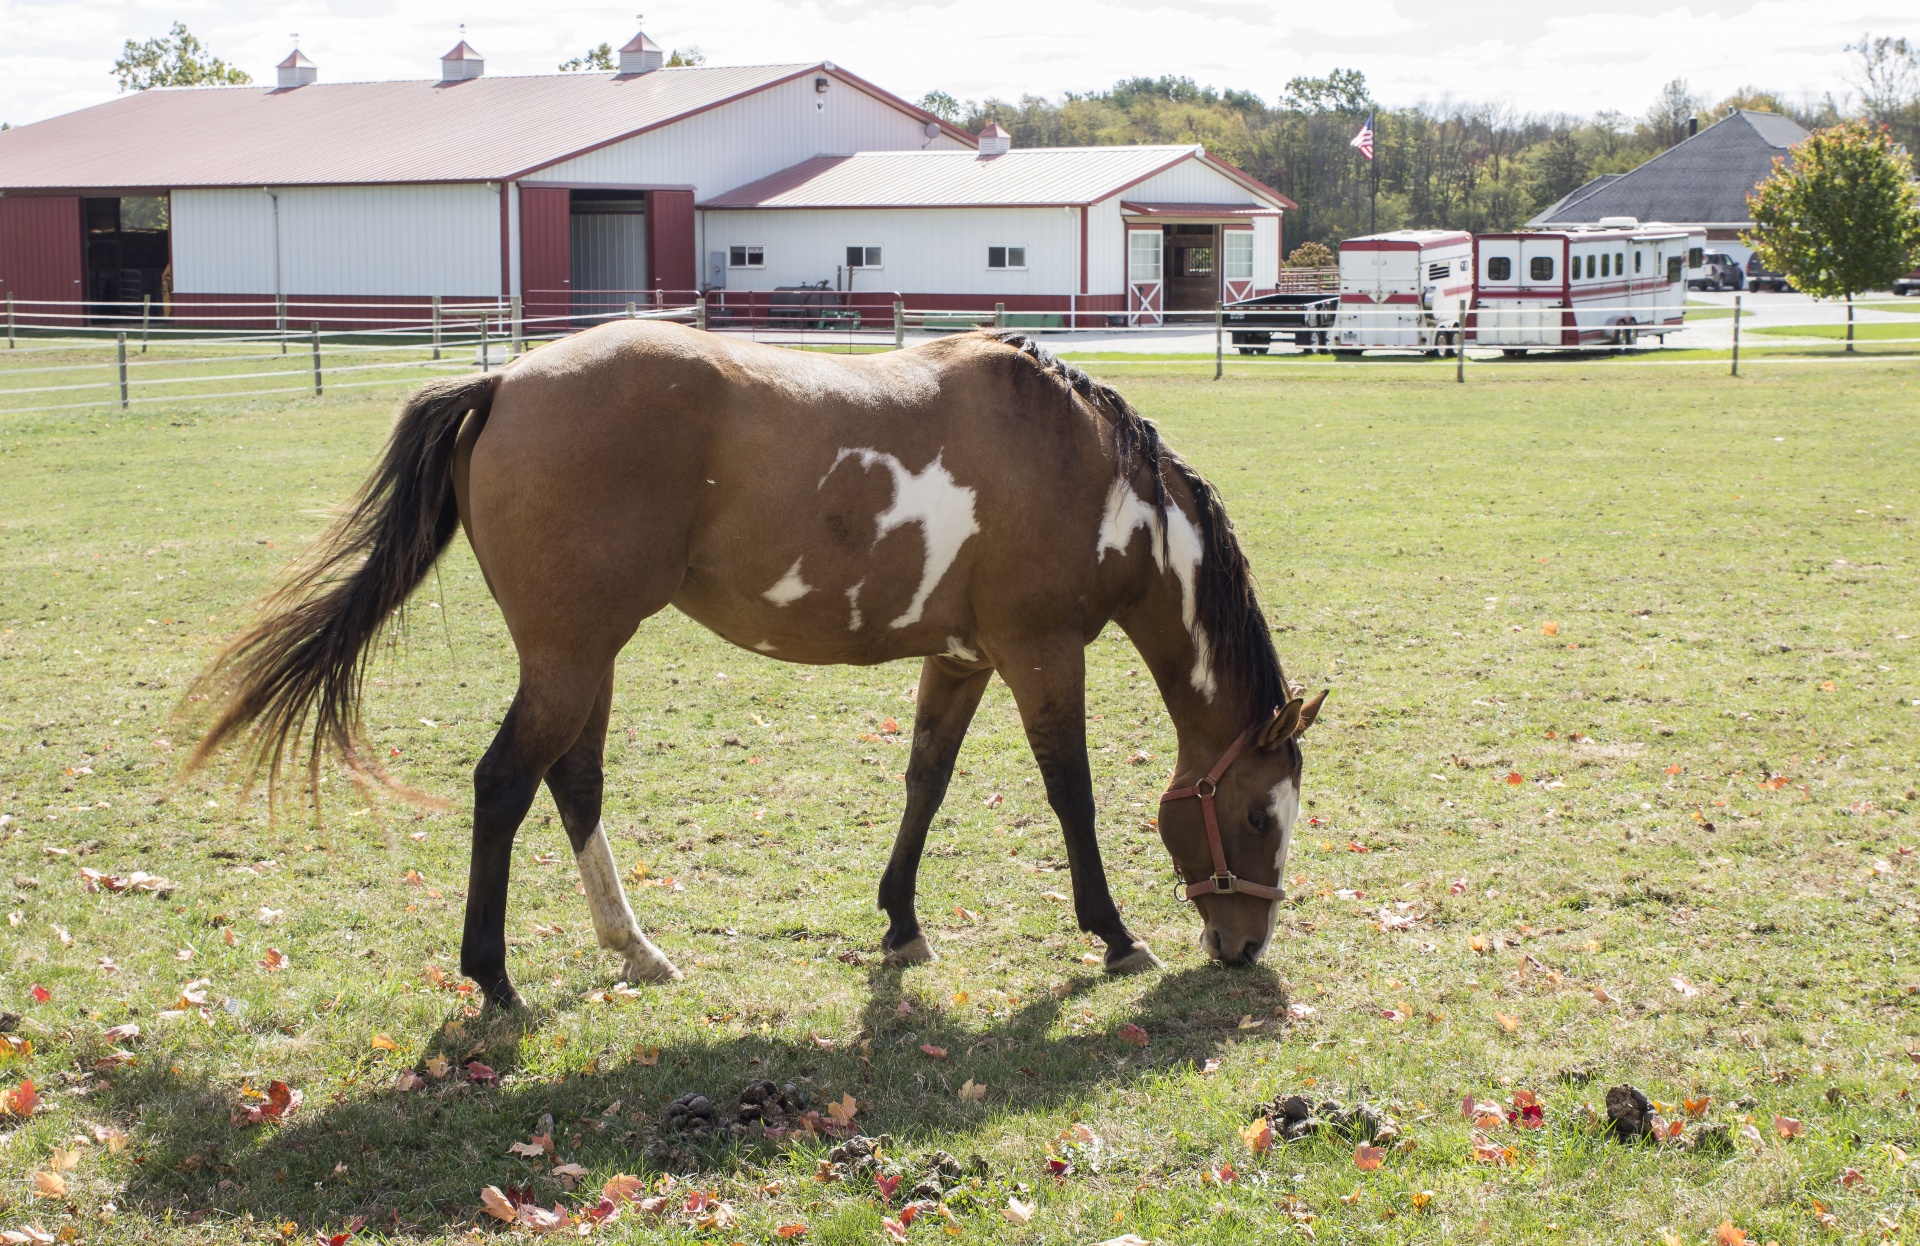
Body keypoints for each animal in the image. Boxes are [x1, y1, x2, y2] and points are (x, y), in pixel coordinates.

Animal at [191, 326, 1320, 1006]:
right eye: (1262, 817)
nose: (1246, 946)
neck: (1088, 474)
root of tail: (505, 379)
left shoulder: (959, 660)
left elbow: (925, 779)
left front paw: (901, 922)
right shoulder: (1040, 657)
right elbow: (1071, 796)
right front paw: (1115, 935)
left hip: (585, 659)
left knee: (573, 781)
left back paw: (635, 948)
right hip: (569, 657)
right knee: (505, 784)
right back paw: (495, 978)